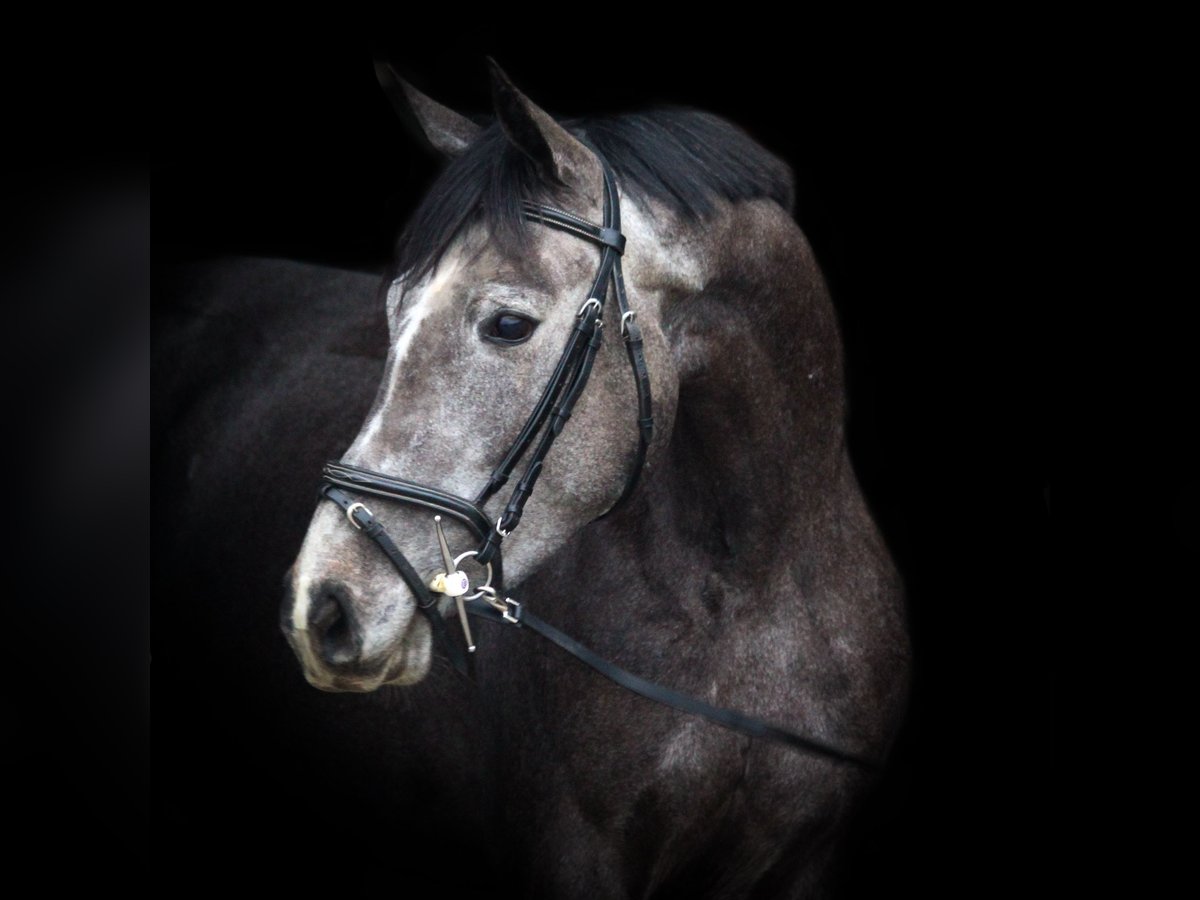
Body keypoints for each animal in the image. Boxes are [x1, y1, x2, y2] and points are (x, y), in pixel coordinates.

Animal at [270, 60, 907, 897]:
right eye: (392, 310)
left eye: (508, 325)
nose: (324, 607)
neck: (753, 589)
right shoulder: (577, 855)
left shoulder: (807, 855)